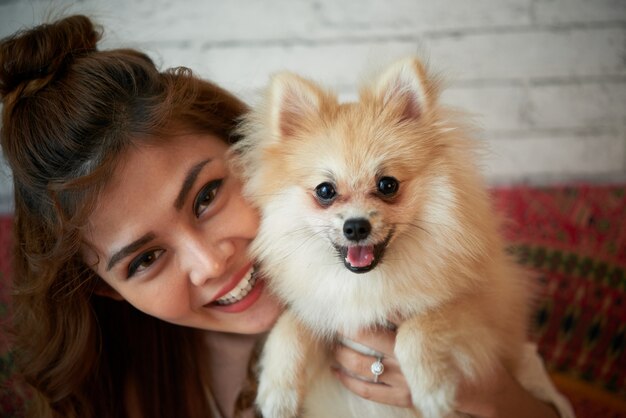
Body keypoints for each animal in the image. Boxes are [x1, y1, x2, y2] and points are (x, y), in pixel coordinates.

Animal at [232, 56, 528, 418]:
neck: (365, 286)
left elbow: (423, 323)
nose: (356, 227)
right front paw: (277, 390)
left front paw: (433, 390)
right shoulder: (330, 316)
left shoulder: (488, 314)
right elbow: (291, 324)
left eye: (388, 185)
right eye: (325, 191)